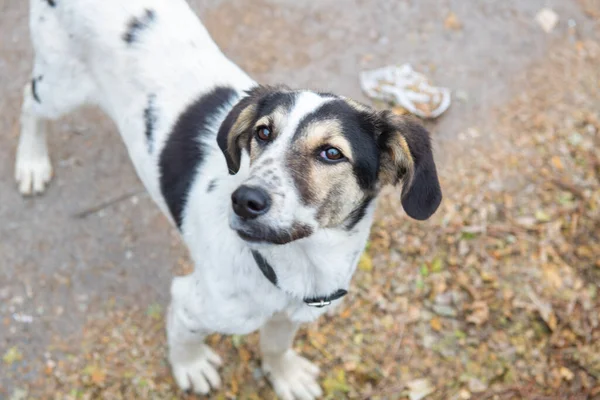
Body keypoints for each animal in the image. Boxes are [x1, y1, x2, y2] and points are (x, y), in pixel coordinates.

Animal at [16, 0, 442, 396]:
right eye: (263, 132)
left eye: (331, 153)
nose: (244, 200)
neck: (297, 264)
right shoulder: (191, 301)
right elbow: (181, 333)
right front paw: (190, 366)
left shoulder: (290, 315)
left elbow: (275, 345)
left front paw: (284, 375)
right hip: (59, 85)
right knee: (29, 101)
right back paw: (31, 162)